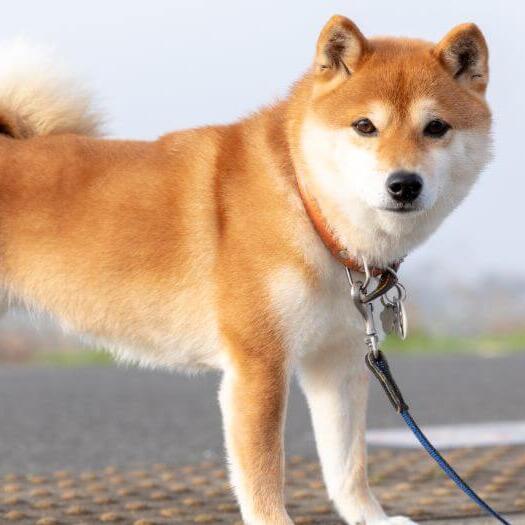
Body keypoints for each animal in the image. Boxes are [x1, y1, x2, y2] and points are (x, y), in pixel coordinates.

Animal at [0, 15, 492, 524]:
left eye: (436, 127)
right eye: (364, 126)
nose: (403, 184)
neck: (305, 203)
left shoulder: (337, 362)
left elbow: (347, 464)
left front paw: (368, 517)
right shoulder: (259, 363)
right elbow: (263, 470)